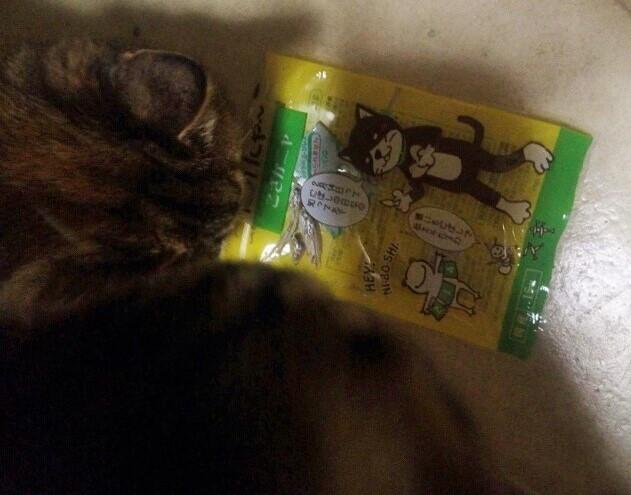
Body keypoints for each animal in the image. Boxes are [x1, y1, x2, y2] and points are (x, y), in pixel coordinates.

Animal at [339, 104, 554, 225]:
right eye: (367, 160)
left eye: (376, 134)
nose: (378, 153)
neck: (402, 156)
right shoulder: (408, 175)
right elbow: (418, 190)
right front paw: (403, 200)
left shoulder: (422, 132)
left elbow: (434, 136)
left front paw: (424, 157)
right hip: (469, 185)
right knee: (489, 191)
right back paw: (517, 210)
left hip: (476, 156)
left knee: (500, 163)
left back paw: (536, 155)